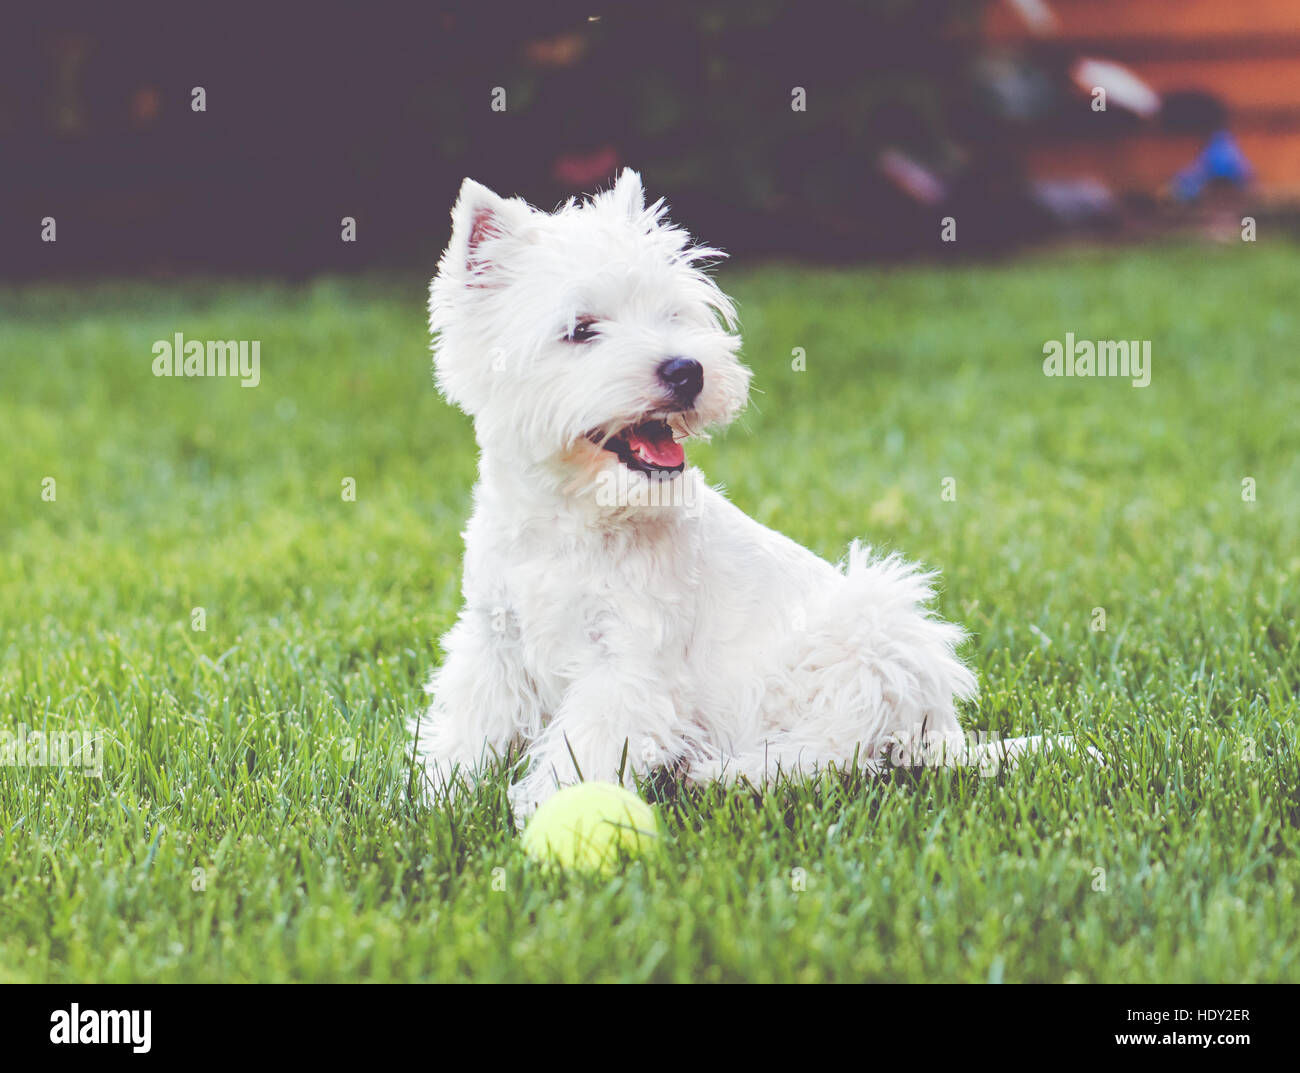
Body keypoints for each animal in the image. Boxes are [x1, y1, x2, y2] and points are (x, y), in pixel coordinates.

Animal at [413, 171, 977, 816]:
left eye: (672, 315)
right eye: (581, 329)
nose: (687, 371)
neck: (571, 518)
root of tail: (949, 738)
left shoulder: (628, 662)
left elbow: (586, 746)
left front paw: (556, 808)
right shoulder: (495, 639)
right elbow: (472, 725)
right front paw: (438, 793)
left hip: (869, 632)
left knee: (845, 749)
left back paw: (727, 774)